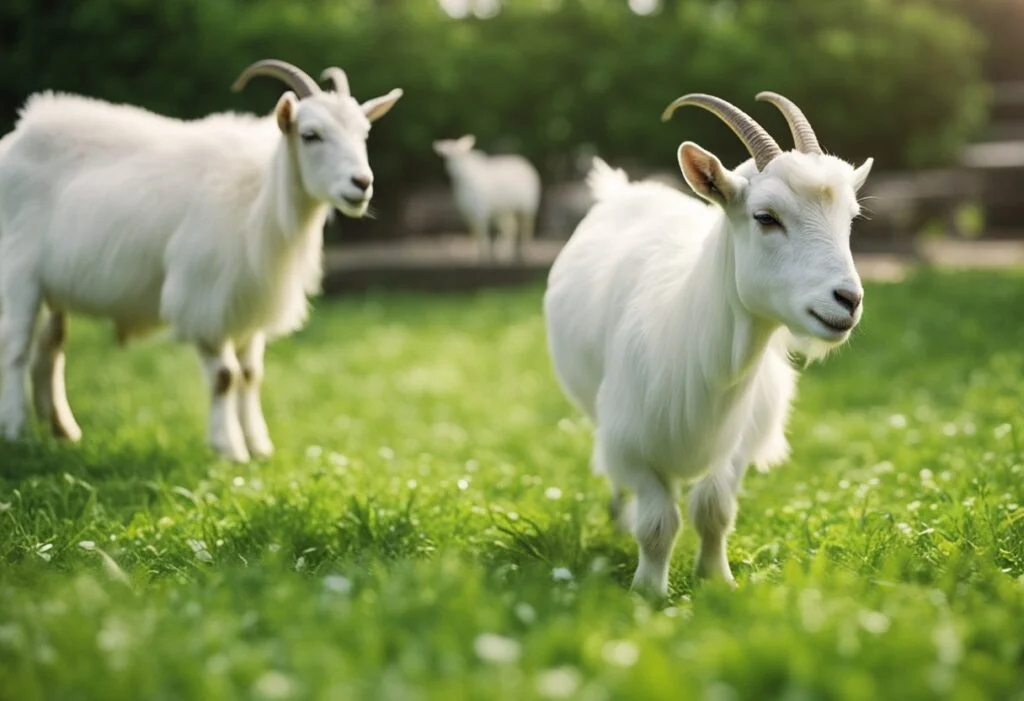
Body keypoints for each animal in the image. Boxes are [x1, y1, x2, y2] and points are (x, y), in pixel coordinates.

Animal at [0, 59, 402, 462]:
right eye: (310, 135)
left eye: (364, 134)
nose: (361, 183)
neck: (260, 198)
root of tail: (14, 139)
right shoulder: (204, 300)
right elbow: (225, 377)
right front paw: (230, 449)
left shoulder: (249, 305)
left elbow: (251, 375)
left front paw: (259, 445)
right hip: (19, 273)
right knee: (16, 347)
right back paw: (17, 431)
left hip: (54, 288)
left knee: (50, 349)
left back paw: (63, 430)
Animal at [543, 92, 873, 596]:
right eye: (765, 217)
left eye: (851, 219)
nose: (848, 300)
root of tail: (623, 190)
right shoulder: (632, 443)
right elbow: (658, 523)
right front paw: (650, 591)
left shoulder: (736, 443)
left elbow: (713, 511)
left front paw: (718, 580)